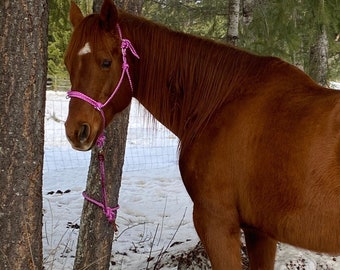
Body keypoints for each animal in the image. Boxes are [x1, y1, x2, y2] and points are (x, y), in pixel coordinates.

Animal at [65, 1, 340, 268]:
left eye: (106, 62)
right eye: (68, 63)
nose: (76, 131)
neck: (222, 102)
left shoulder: (216, 222)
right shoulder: (259, 232)